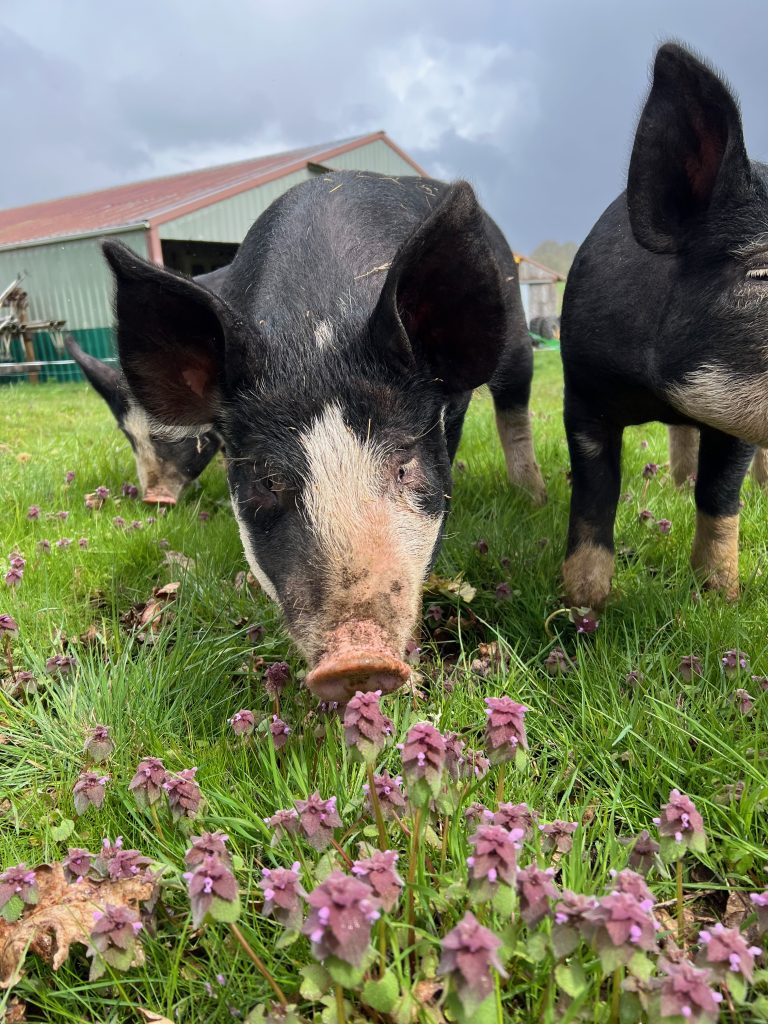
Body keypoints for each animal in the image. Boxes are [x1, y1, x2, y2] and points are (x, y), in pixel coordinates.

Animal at [103, 170, 544, 701]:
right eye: (268, 480)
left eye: (403, 466)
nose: (357, 659)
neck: (317, 330)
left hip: (516, 340)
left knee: (514, 406)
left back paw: (532, 496)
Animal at [561, 42, 768, 609]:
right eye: (761, 271)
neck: (654, 390)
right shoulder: (580, 392)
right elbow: (594, 495)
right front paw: (582, 606)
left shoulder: (735, 423)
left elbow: (719, 496)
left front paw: (720, 598)